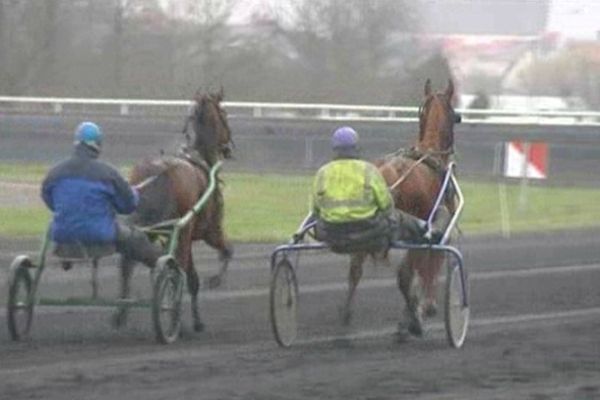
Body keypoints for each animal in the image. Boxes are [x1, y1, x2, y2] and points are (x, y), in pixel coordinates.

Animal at [112, 90, 234, 332]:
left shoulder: (183, 233)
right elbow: (226, 251)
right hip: (182, 231)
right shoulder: (210, 232)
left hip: (148, 227)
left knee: (129, 263)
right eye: (224, 112)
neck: (200, 159)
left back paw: (122, 313)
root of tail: (157, 172)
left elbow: (192, 275)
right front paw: (214, 283)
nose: (228, 147)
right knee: (177, 269)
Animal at [338, 79, 460, 338]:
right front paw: (424, 307)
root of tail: (387, 175)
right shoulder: (435, 227)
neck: (430, 155)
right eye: (454, 112)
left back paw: (346, 316)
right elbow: (429, 265)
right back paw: (412, 323)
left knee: (355, 270)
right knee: (404, 275)